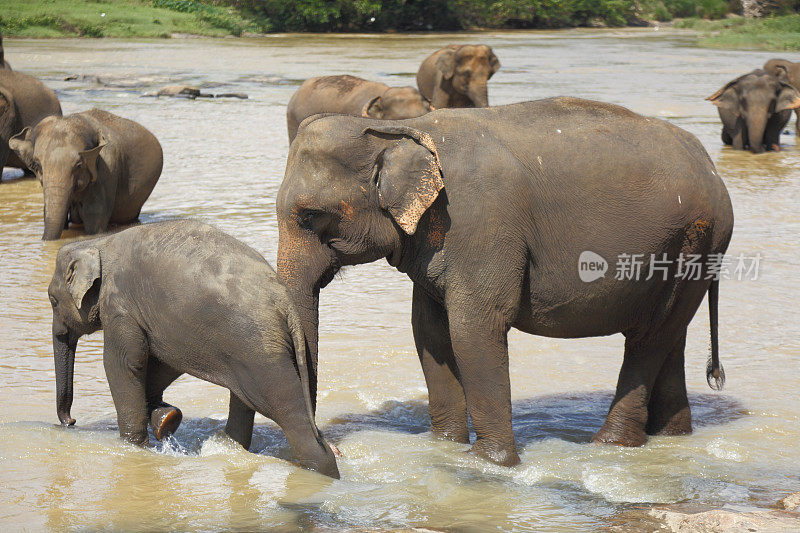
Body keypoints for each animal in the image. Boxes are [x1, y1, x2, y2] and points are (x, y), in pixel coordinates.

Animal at [46, 218, 340, 476]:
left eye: (52, 300)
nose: (71, 422)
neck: (97, 243)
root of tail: (286, 302)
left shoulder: (119, 303)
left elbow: (126, 362)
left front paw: (135, 444)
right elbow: (161, 362)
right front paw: (167, 418)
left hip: (262, 351)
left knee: (288, 411)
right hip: (251, 349)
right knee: (245, 399)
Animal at [278, 98, 736, 466]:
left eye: (309, 216)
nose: (334, 449)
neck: (401, 126)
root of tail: (712, 165)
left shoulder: (479, 222)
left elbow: (475, 327)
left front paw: (488, 463)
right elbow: (429, 332)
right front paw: (444, 447)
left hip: (700, 237)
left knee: (648, 338)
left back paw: (609, 446)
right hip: (691, 248)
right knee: (671, 334)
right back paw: (671, 436)